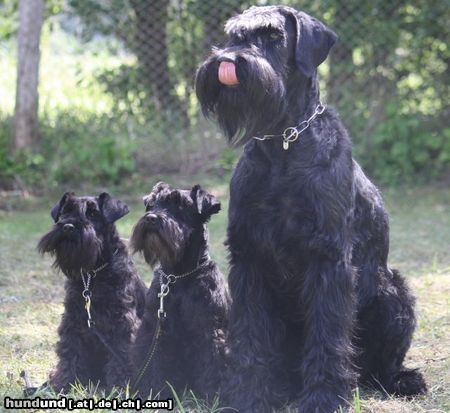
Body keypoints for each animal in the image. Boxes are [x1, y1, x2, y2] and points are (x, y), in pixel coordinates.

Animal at [38, 192, 146, 392]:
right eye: (66, 211)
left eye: (93, 213)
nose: (68, 226)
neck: (93, 273)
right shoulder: (73, 320)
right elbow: (69, 352)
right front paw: (63, 383)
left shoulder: (122, 322)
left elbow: (121, 353)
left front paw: (120, 386)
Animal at [129, 181, 229, 400]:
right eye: (151, 204)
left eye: (181, 205)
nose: (151, 218)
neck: (178, 275)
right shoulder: (154, 329)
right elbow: (154, 363)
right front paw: (154, 391)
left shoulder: (210, 329)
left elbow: (214, 360)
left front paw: (214, 396)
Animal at [196, 4, 426, 412]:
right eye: (233, 35)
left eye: (274, 36)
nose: (226, 62)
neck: (284, 143)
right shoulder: (249, 257)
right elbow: (251, 333)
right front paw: (248, 394)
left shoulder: (327, 258)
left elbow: (328, 332)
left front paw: (324, 396)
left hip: (393, 295)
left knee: (379, 364)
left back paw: (400, 379)